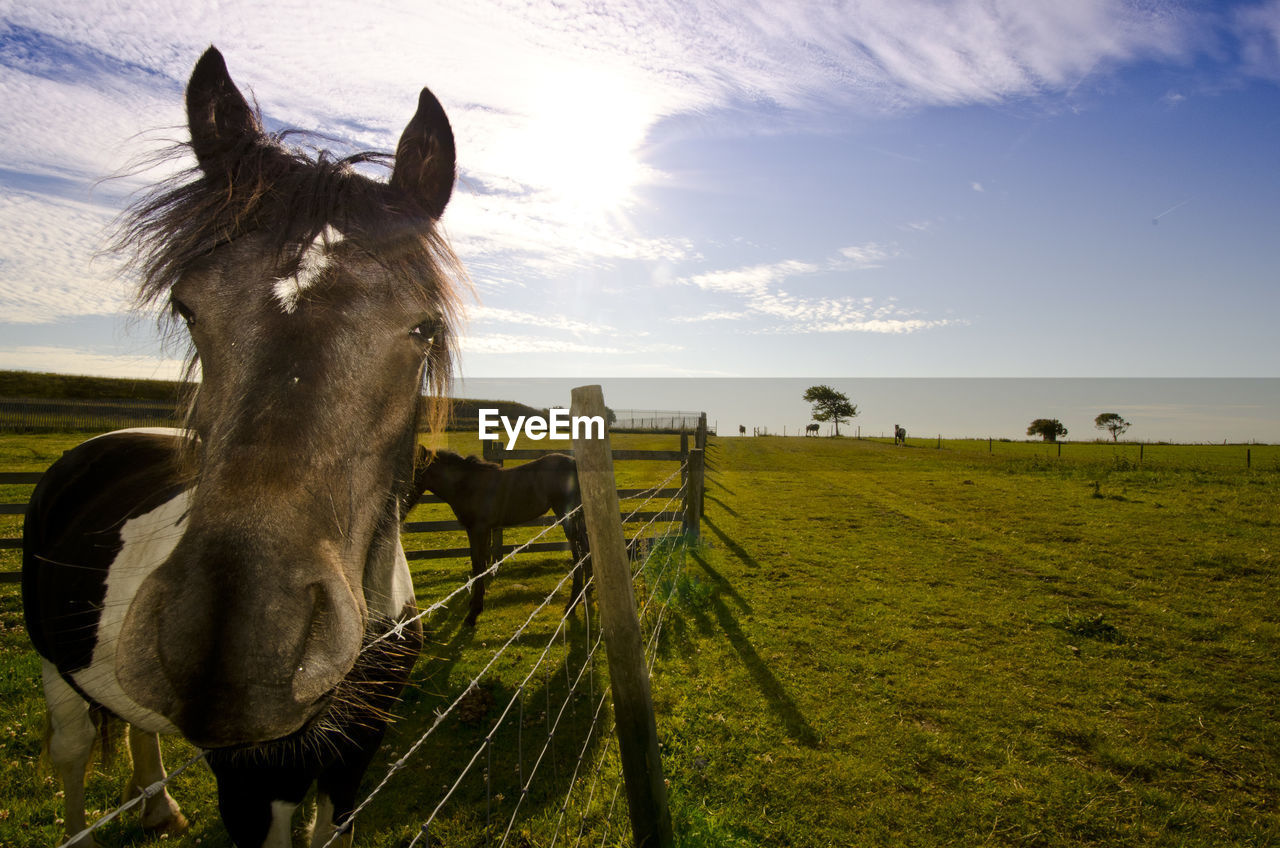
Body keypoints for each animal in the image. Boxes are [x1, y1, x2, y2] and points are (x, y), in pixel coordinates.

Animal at [23, 46, 465, 848]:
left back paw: (158, 806)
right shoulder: (251, 785)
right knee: (73, 754)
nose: (231, 654)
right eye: (187, 307)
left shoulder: (353, 763)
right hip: (51, 664)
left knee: (139, 734)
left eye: (424, 329)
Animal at [414, 448, 593, 627]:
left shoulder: (479, 529)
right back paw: (587, 591)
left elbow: (479, 565)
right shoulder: (477, 530)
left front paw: (473, 613)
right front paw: (474, 603)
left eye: (414, 470)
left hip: (568, 516)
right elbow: (478, 563)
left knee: (579, 553)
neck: (467, 485)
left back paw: (572, 603)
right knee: (587, 547)